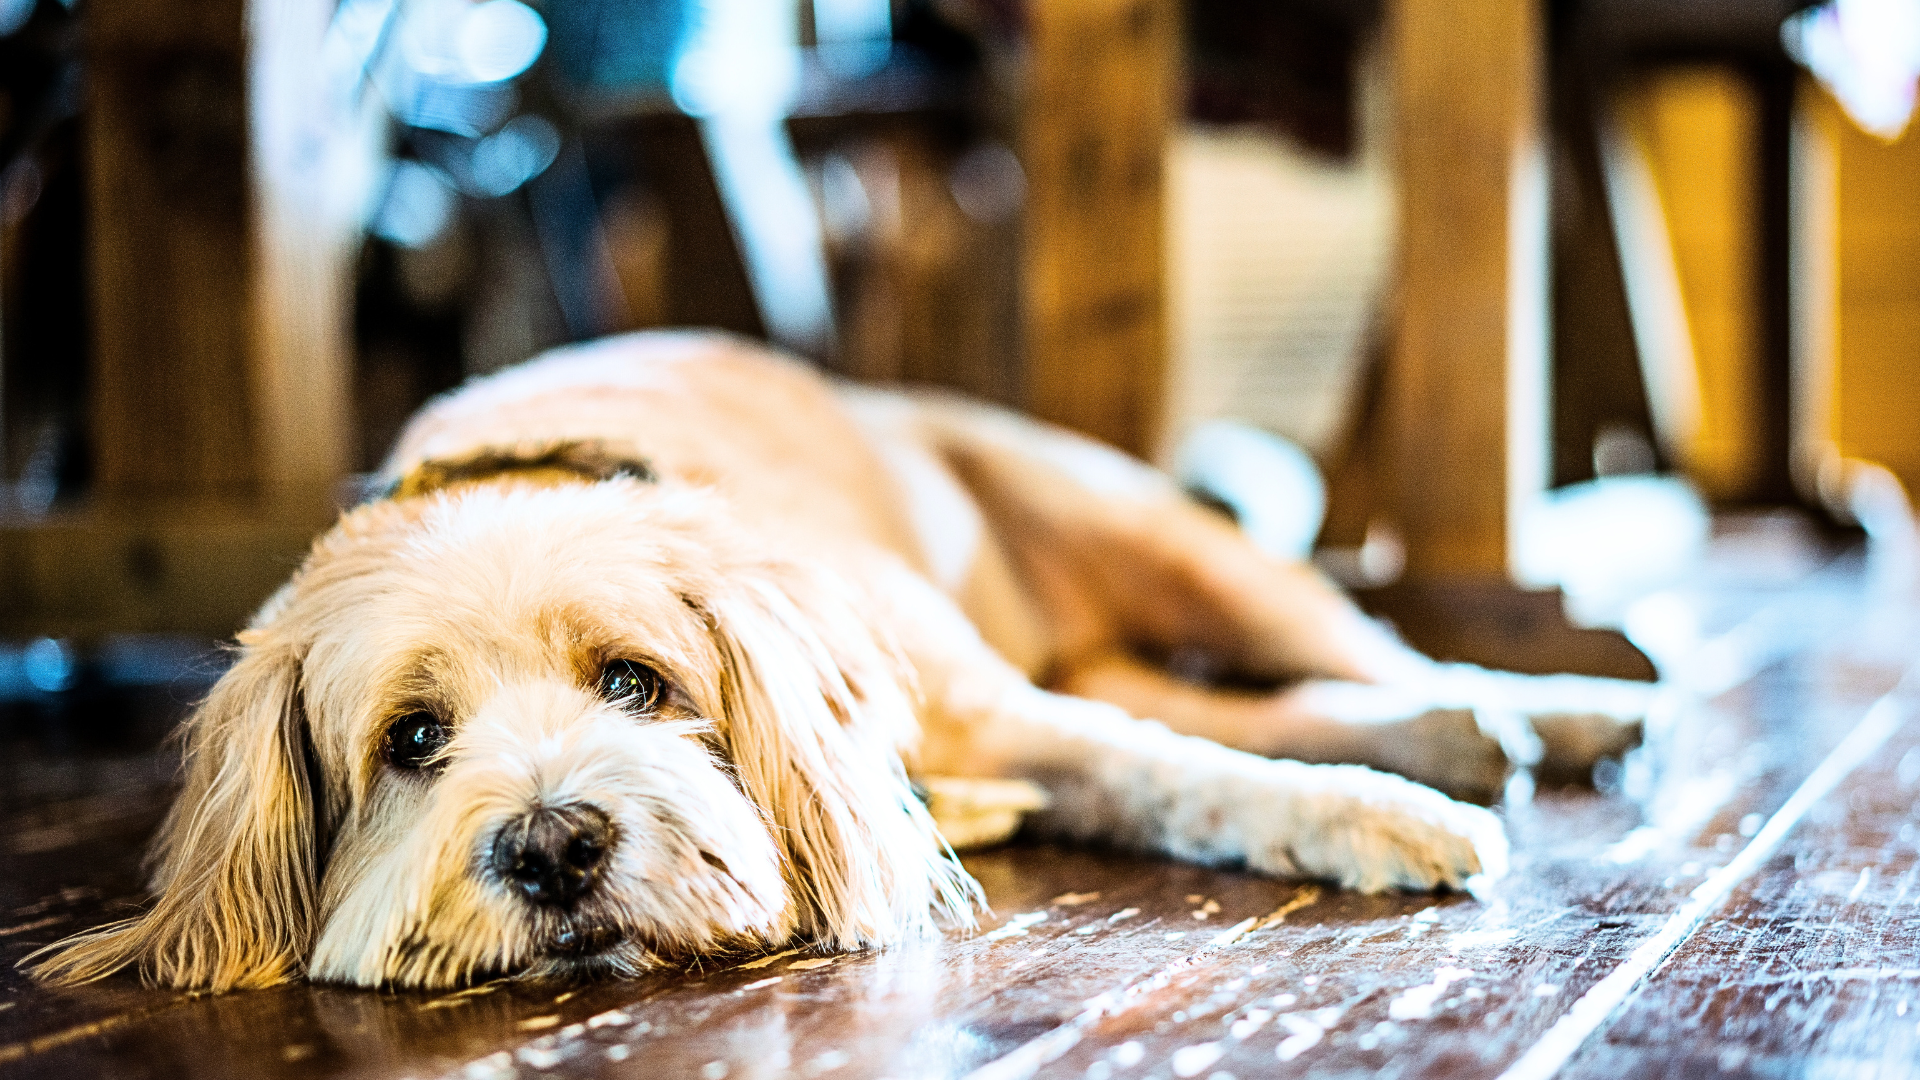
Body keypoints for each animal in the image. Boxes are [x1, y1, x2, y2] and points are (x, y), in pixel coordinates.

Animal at [26, 332, 1651, 991]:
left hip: (1174, 546)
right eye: (411, 741)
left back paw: (1538, 714)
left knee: (1338, 647)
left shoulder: (992, 710)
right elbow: (1187, 763)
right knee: (1243, 694)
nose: (553, 848)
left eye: (636, 681)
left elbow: (1193, 776)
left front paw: (1382, 823)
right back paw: (1458, 733)